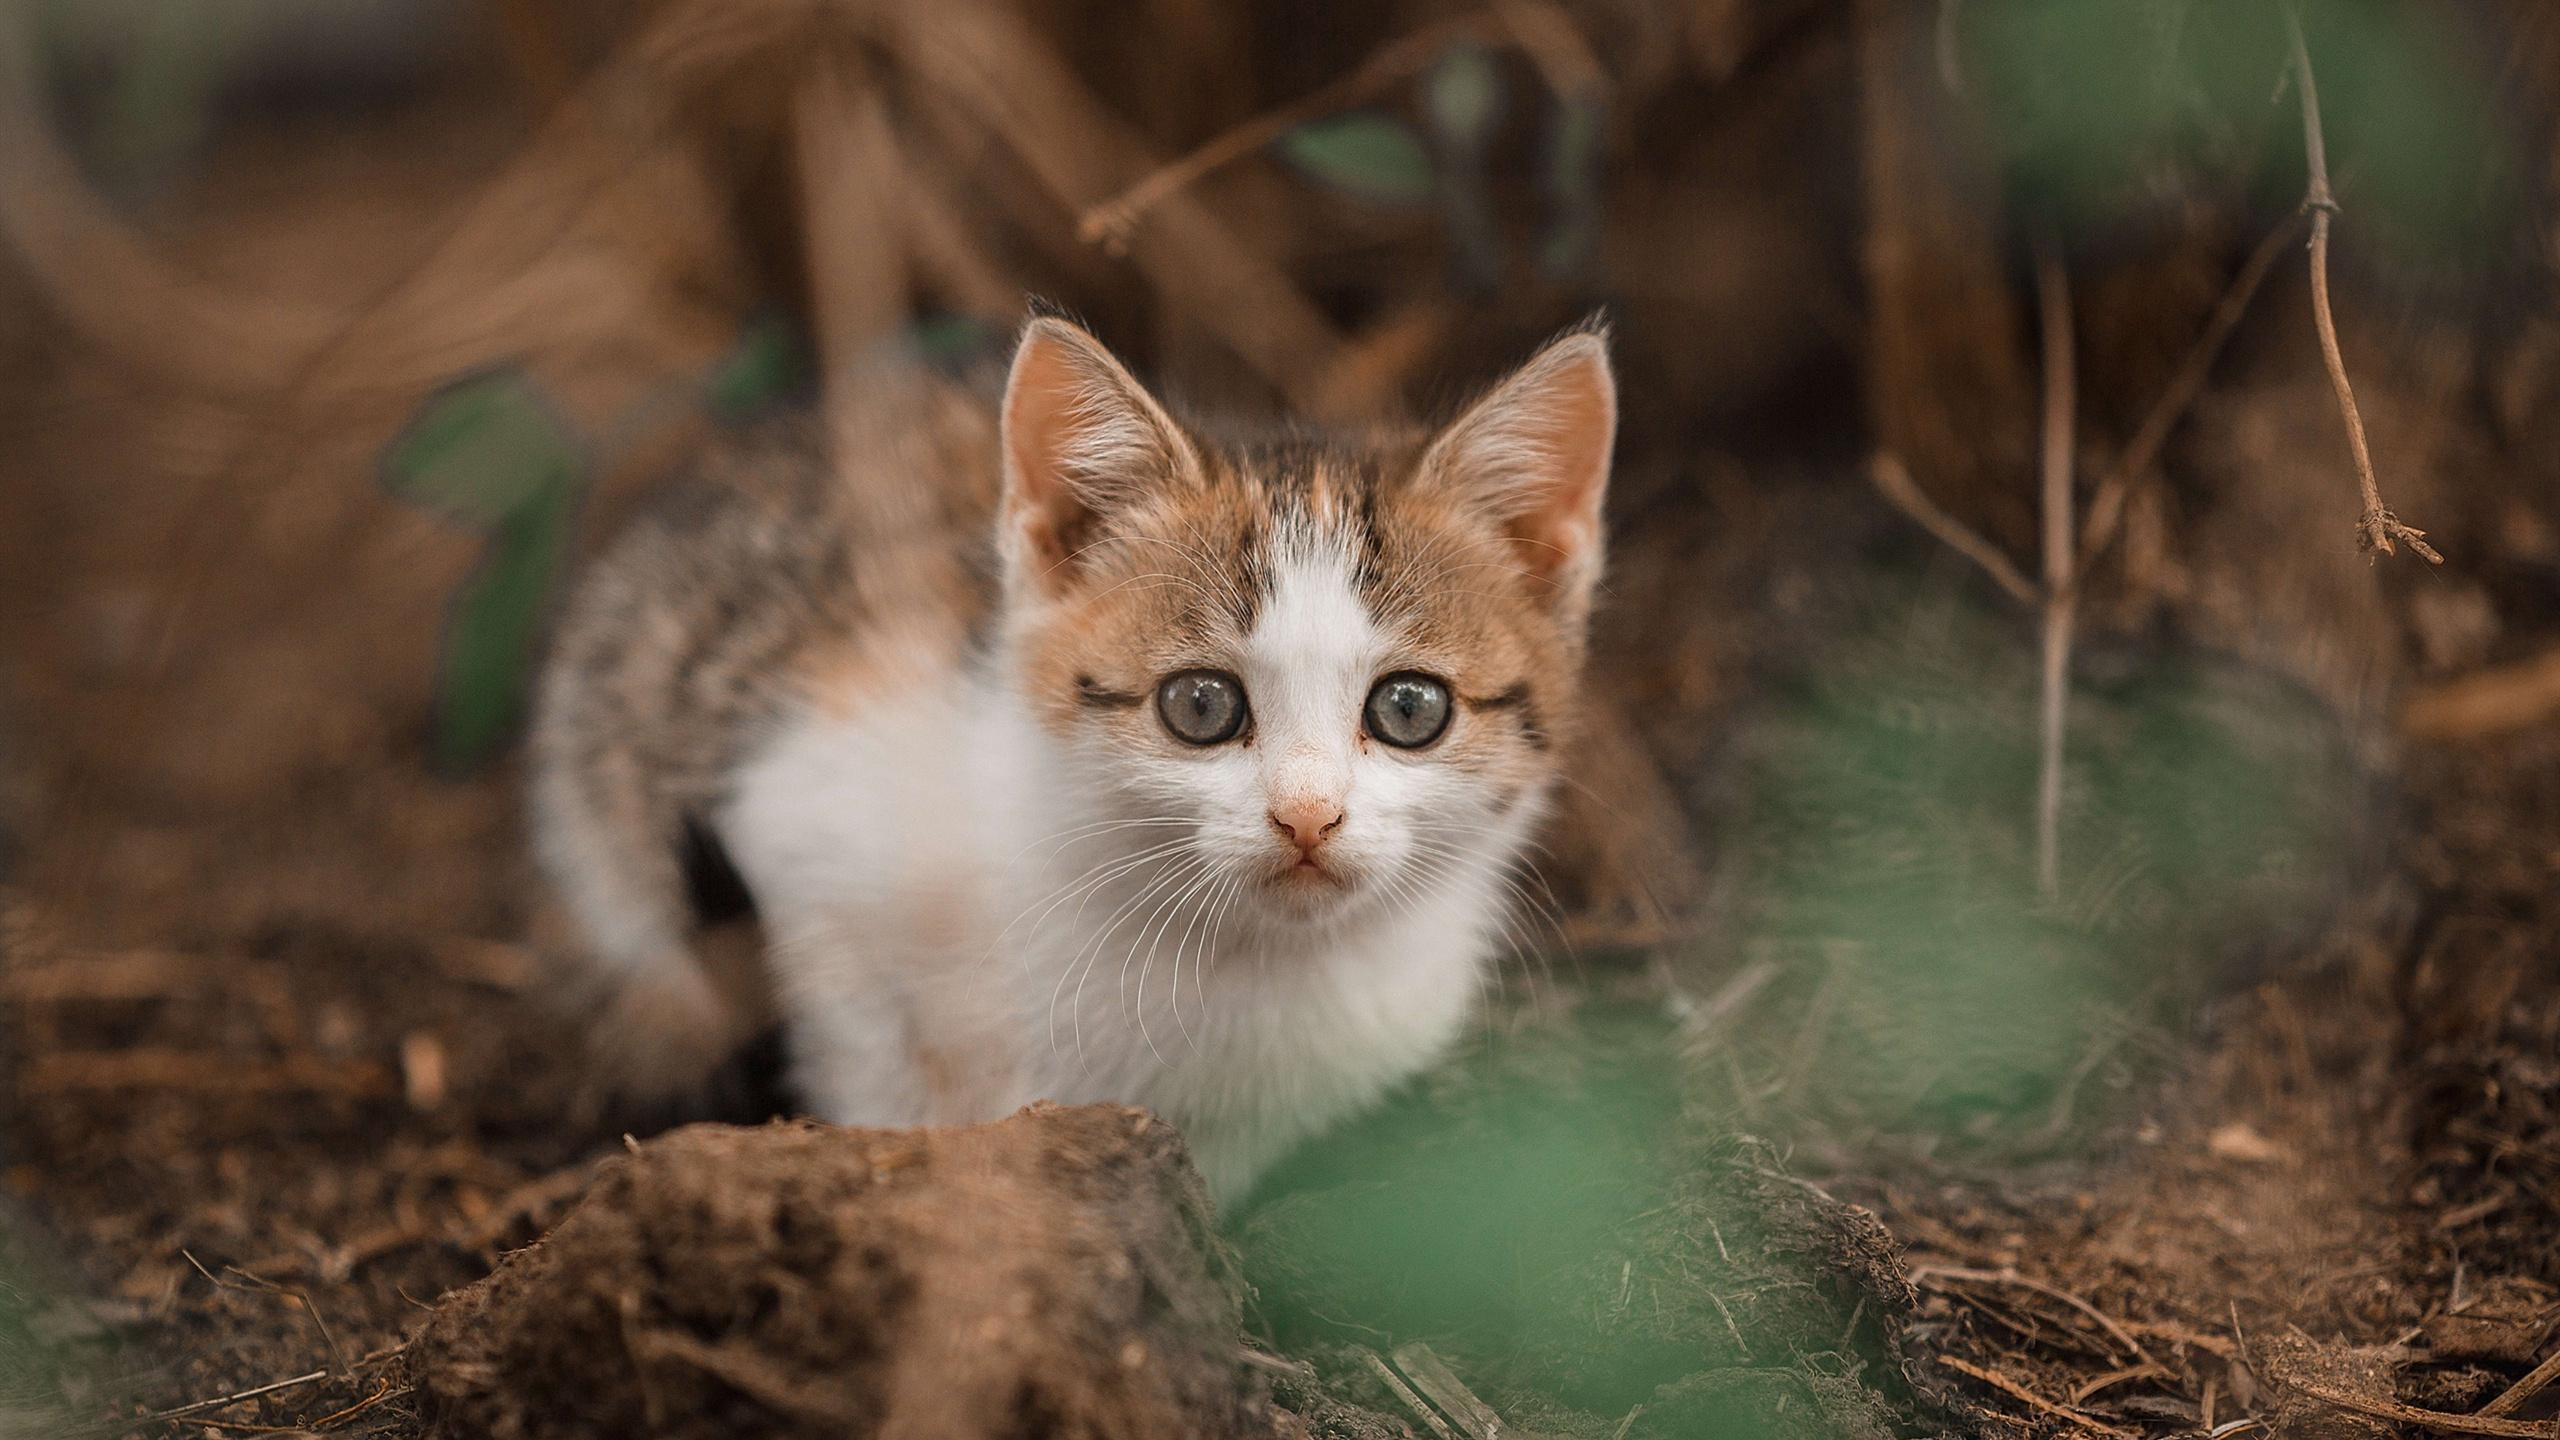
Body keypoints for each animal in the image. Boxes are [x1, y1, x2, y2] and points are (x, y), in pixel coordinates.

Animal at [535, 316, 1617, 1199]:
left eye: (1407, 708)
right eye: (1199, 705)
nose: (1307, 816)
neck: (1234, 964)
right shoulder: (803, 817)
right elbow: (864, 1048)